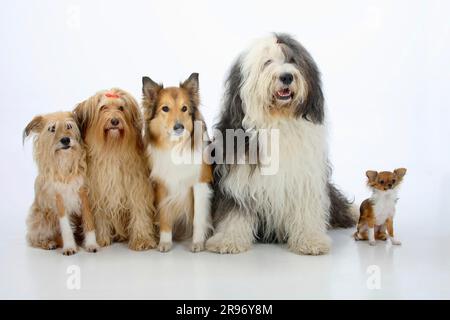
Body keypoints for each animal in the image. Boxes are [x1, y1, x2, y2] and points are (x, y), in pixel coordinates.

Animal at [24, 111, 99, 256]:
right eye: (52, 129)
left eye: (69, 126)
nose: (65, 140)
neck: (65, 163)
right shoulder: (58, 197)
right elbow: (65, 226)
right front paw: (69, 246)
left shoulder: (83, 193)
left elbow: (89, 221)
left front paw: (91, 244)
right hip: (41, 217)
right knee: (34, 237)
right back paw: (49, 243)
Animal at [74, 88, 156, 250]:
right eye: (103, 108)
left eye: (121, 108)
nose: (114, 121)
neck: (112, 150)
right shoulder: (98, 193)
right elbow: (100, 217)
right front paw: (101, 239)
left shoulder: (138, 189)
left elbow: (140, 213)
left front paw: (142, 240)